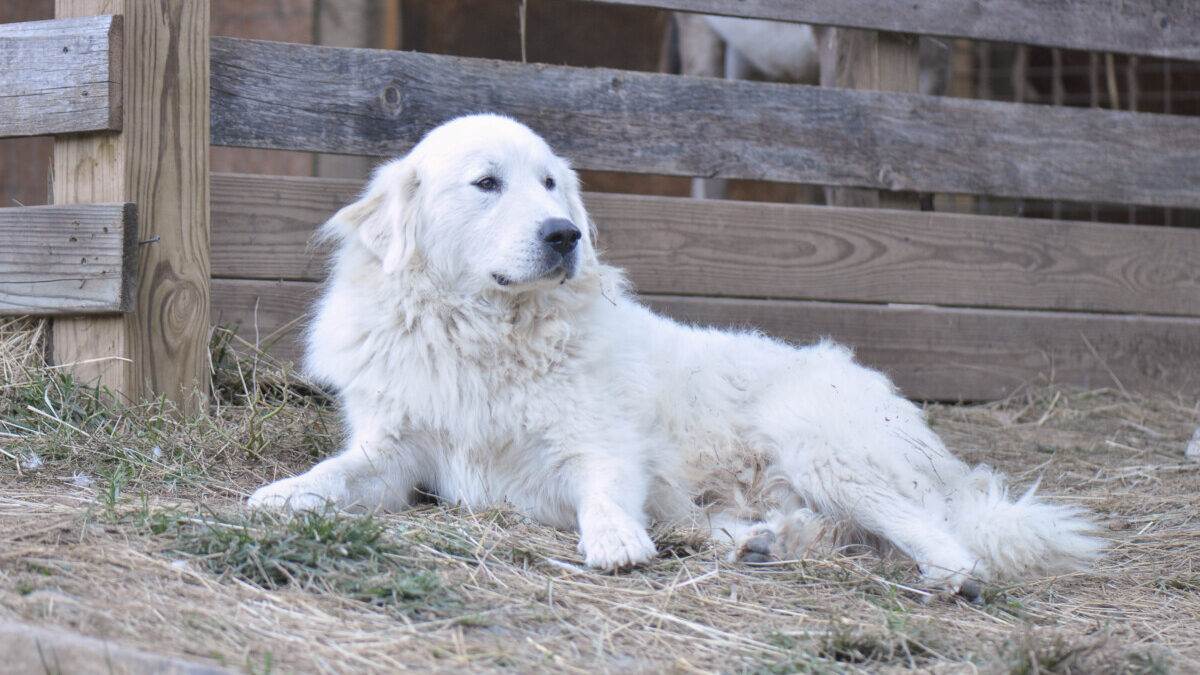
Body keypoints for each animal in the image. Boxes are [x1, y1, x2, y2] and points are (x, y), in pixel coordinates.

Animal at [248, 112, 1099, 595]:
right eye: (486, 183)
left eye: (551, 183)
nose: (566, 234)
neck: (485, 329)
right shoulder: (396, 450)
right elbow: (338, 471)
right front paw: (285, 493)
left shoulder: (598, 441)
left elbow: (602, 487)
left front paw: (614, 540)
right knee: (812, 528)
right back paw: (759, 543)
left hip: (823, 445)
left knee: (945, 540)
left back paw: (945, 580)